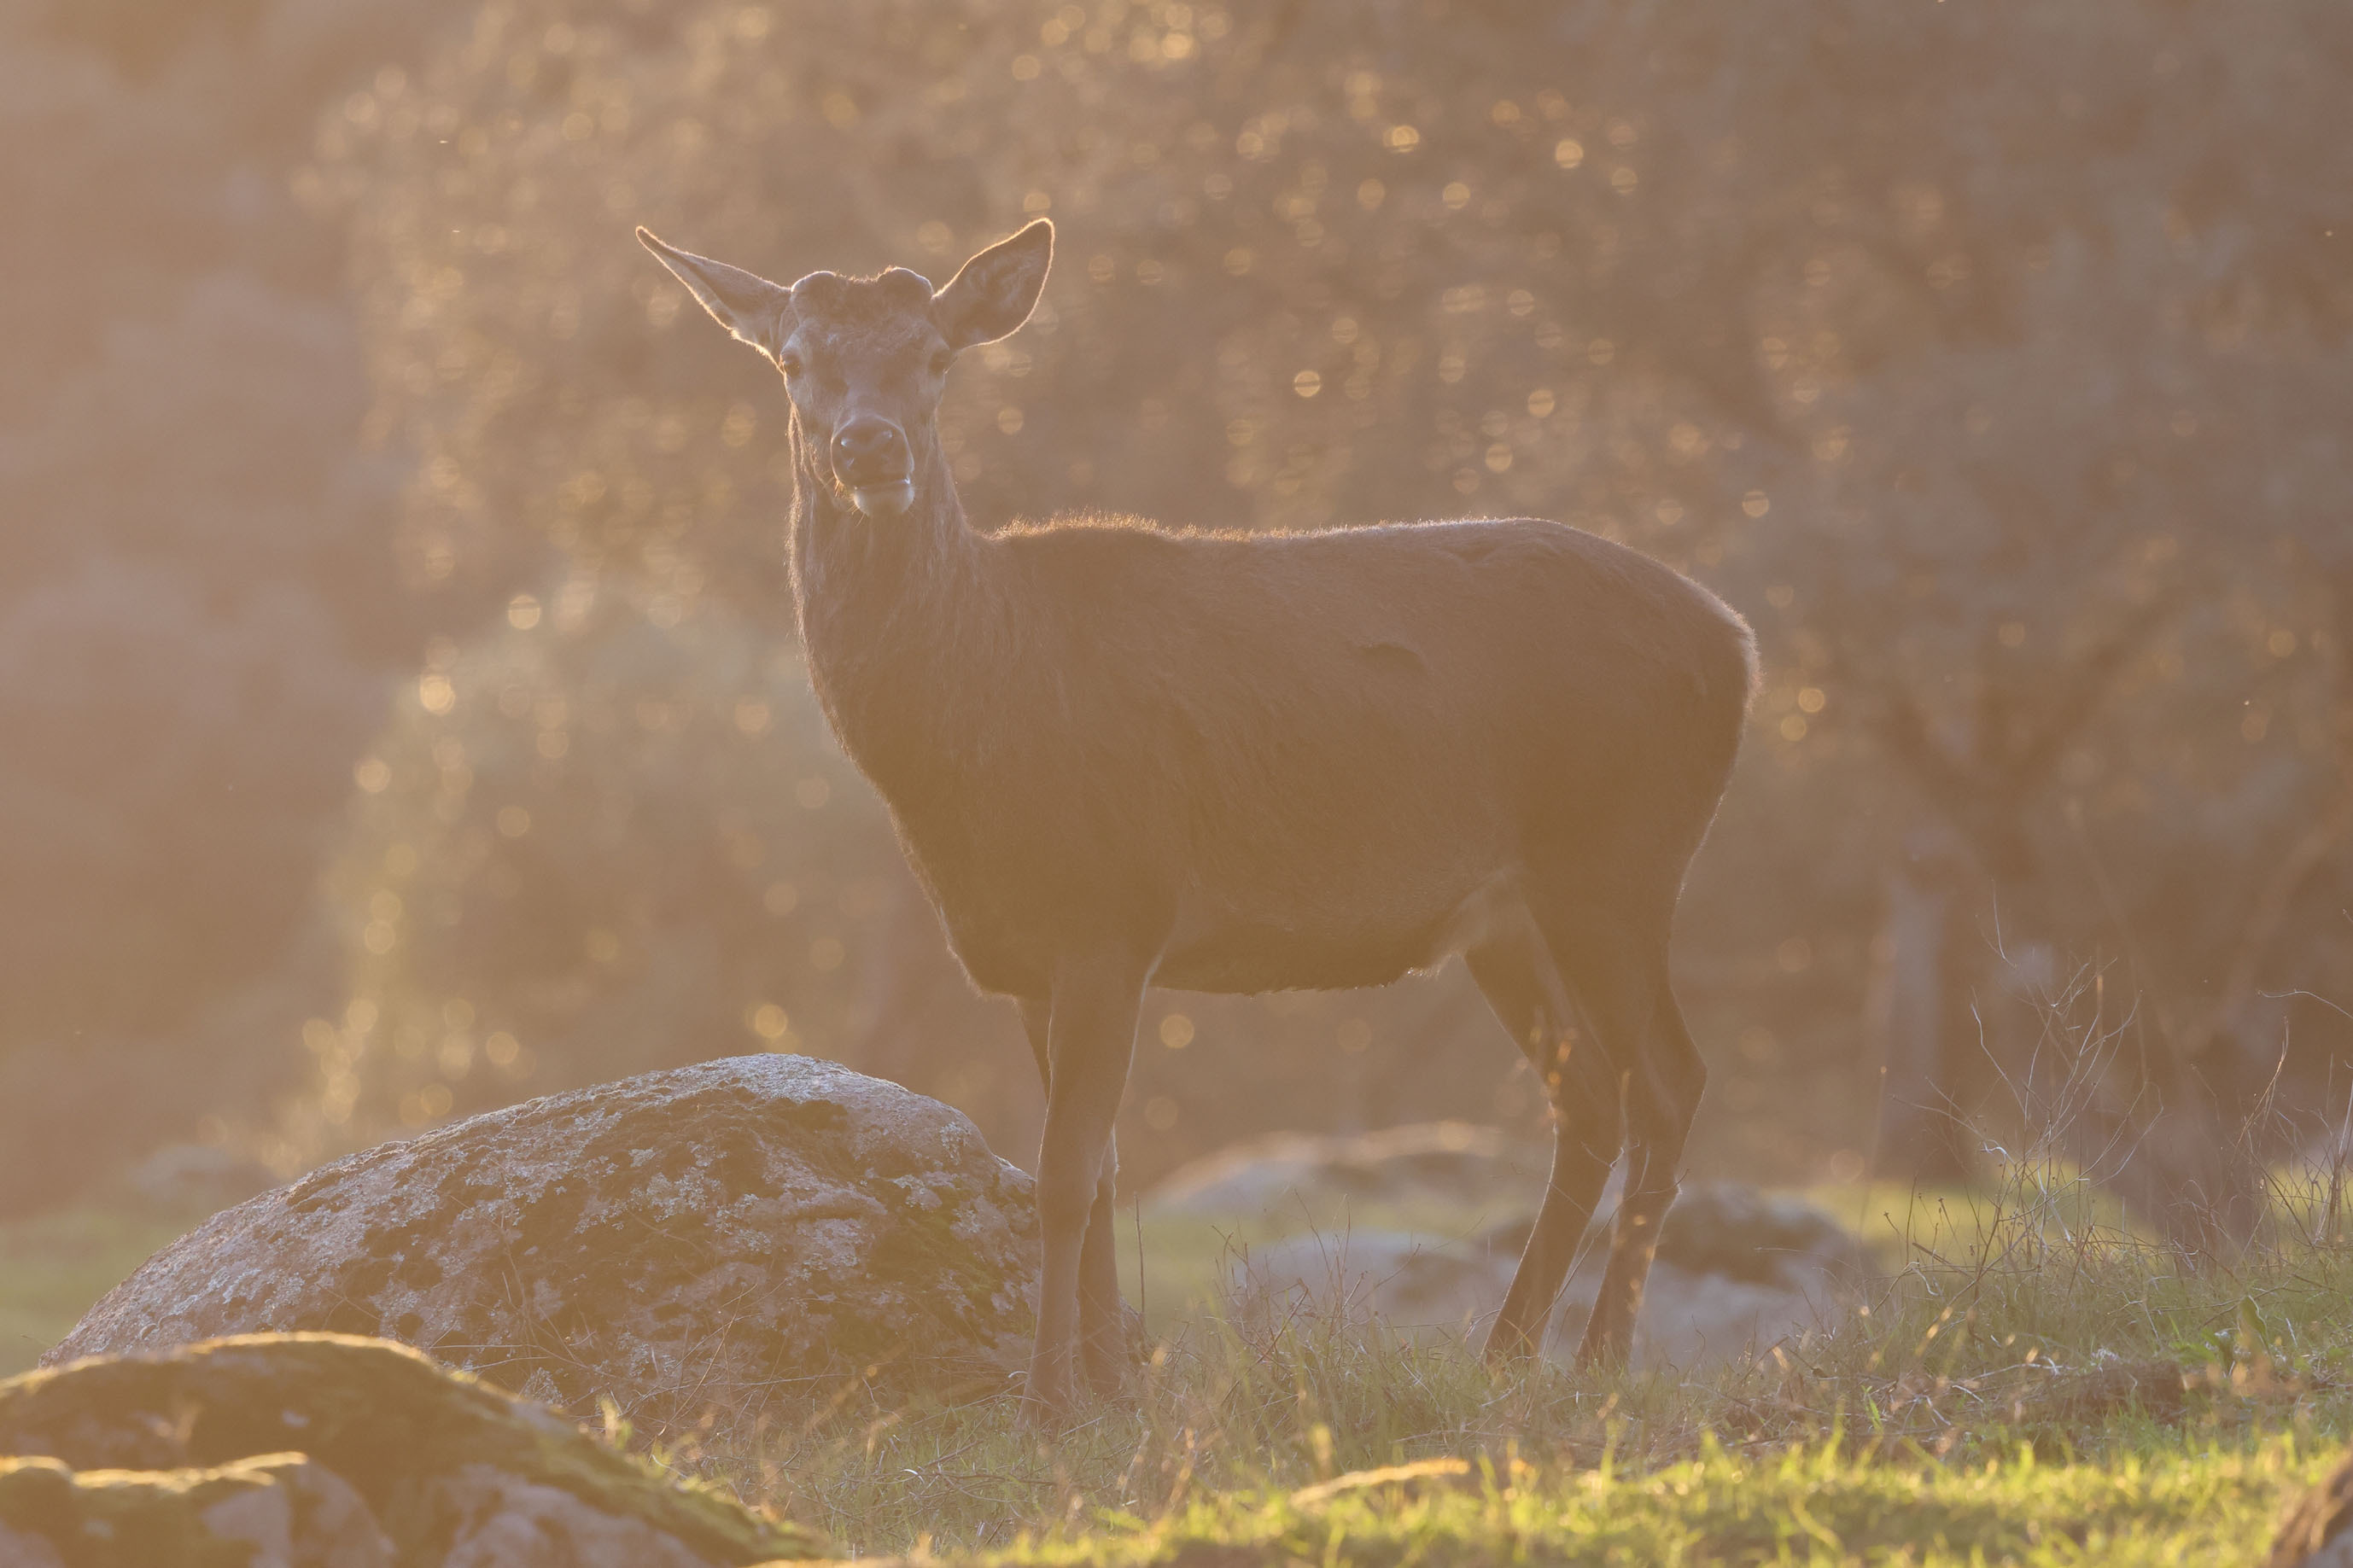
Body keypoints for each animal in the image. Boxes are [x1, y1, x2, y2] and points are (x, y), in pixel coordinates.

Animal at [637, 217, 1757, 1419]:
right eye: (793, 361)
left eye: (934, 355)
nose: (869, 449)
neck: (980, 731)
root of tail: (1737, 643)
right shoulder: (1031, 961)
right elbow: (1101, 1167)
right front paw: (1109, 1392)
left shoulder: (1114, 912)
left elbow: (1062, 1174)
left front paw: (1047, 1405)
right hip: (1506, 913)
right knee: (1586, 1098)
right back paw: (1503, 1355)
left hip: (1619, 857)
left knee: (1667, 1084)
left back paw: (1601, 1360)